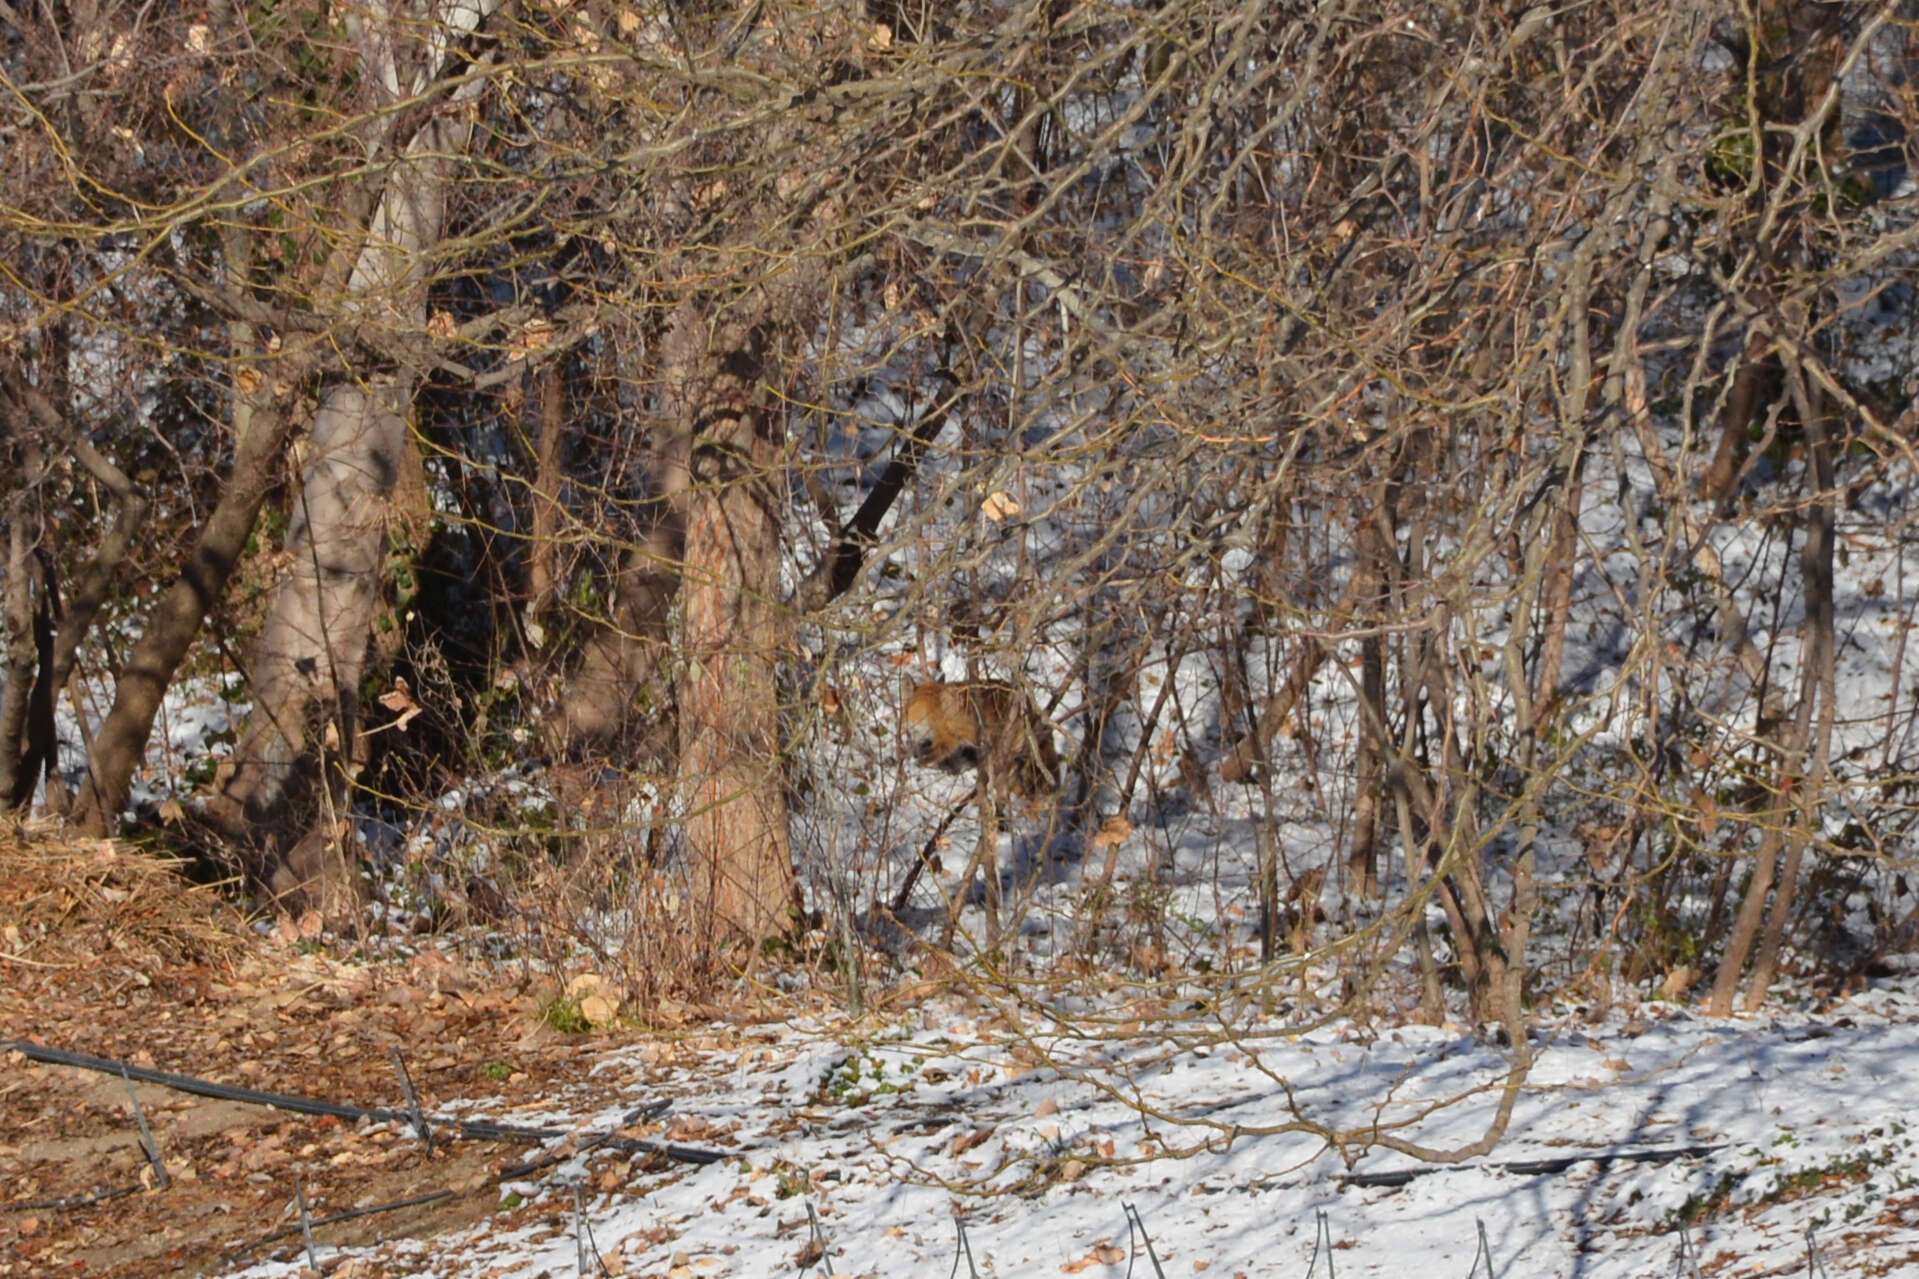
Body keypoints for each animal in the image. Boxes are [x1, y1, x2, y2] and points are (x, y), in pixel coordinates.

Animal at [898, 675, 1066, 944]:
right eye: (907, 712)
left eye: (914, 714)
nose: (907, 732)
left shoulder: (950, 738)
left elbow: (937, 753)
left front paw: (919, 763)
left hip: (1006, 757)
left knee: (1012, 789)